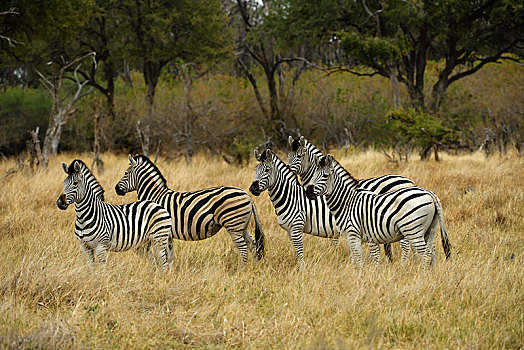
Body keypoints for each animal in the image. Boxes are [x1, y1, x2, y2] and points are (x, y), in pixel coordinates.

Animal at [114, 154, 262, 264]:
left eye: (126, 173)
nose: (116, 189)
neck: (155, 196)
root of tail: (247, 195)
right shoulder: (168, 233)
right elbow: (169, 254)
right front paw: (170, 272)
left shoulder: (159, 230)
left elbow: (162, 254)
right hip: (242, 226)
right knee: (252, 244)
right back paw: (253, 267)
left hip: (233, 225)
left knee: (243, 249)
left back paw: (241, 270)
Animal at [286, 135, 418, 262]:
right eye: (287, 155)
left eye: (299, 156)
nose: (287, 168)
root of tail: (410, 182)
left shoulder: (330, 224)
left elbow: (335, 244)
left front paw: (336, 258)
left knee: (406, 243)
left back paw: (404, 263)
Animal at [304, 154, 452, 270]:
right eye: (313, 175)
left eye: (325, 176)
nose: (308, 192)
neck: (347, 202)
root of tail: (429, 193)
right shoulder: (350, 236)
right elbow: (355, 259)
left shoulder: (353, 233)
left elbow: (359, 260)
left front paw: (359, 277)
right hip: (430, 229)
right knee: (432, 252)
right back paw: (430, 275)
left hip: (413, 230)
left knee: (425, 254)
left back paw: (421, 275)